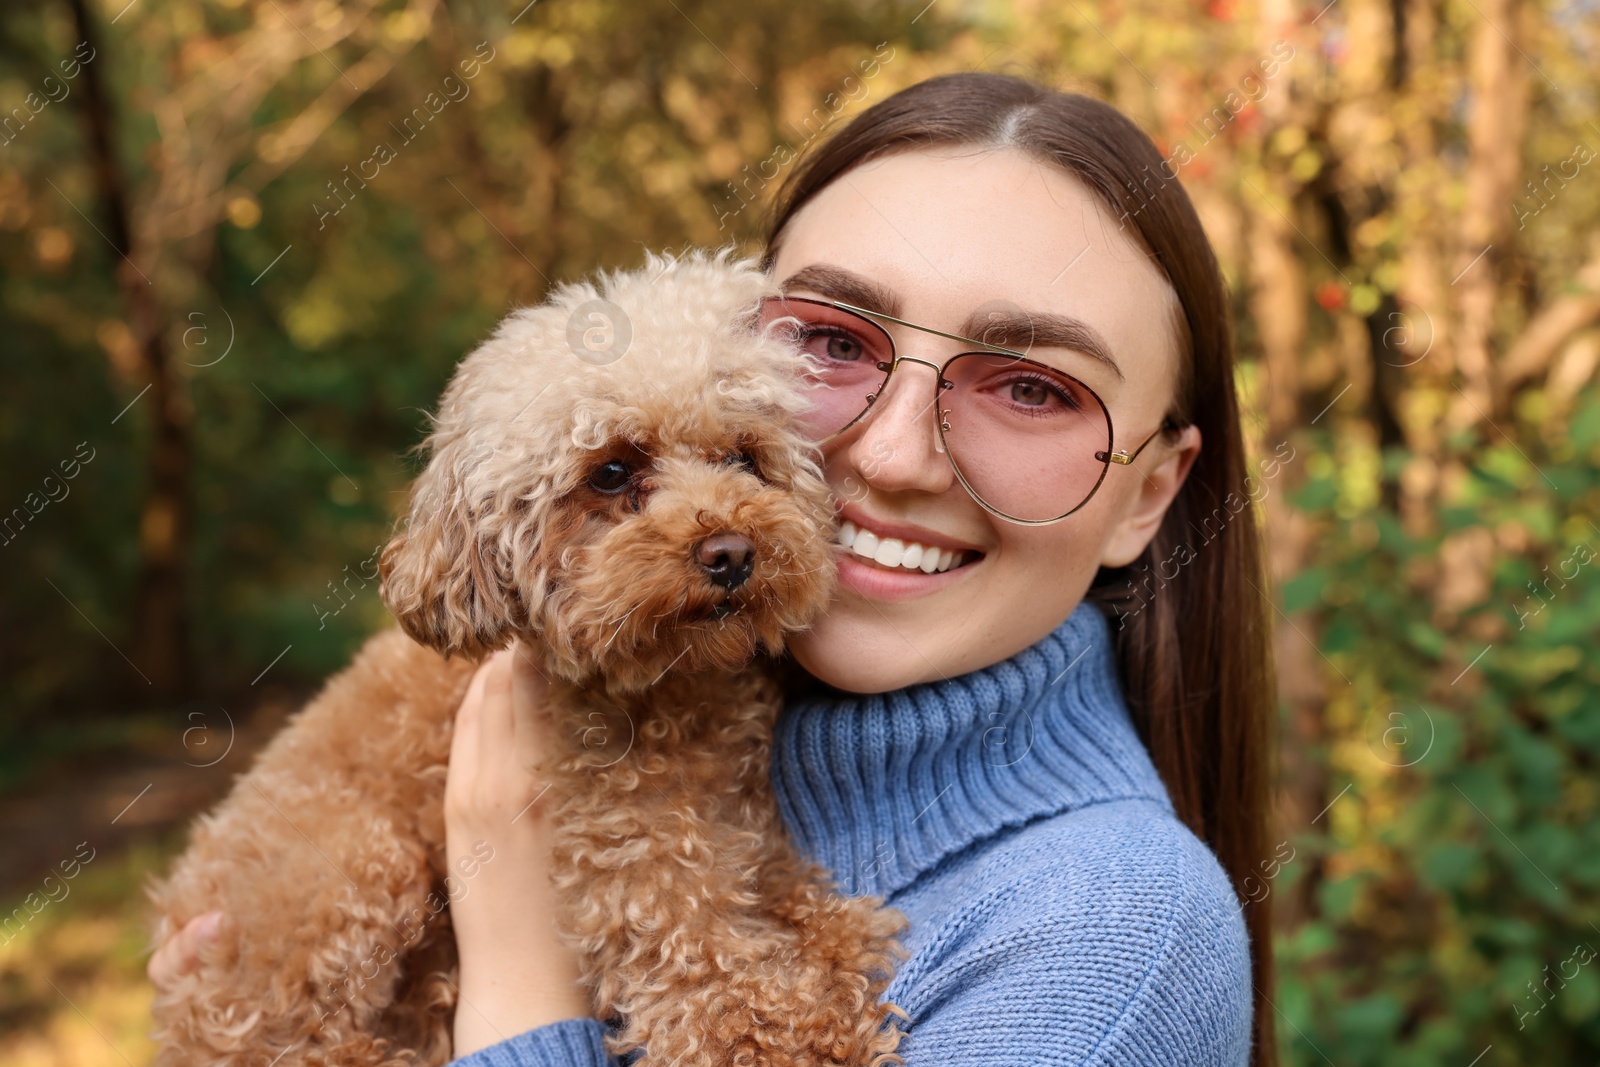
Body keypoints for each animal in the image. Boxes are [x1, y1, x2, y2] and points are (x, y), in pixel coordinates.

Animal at [150, 251, 915, 1067]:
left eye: (745, 456)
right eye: (611, 472)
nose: (732, 553)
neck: (675, 692)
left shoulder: (739, 822)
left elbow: (789, 895)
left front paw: (837, 949)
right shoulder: (626, 846)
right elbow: (699, 956)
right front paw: (795, 1033)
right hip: (348, 867)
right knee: (286, 1040)